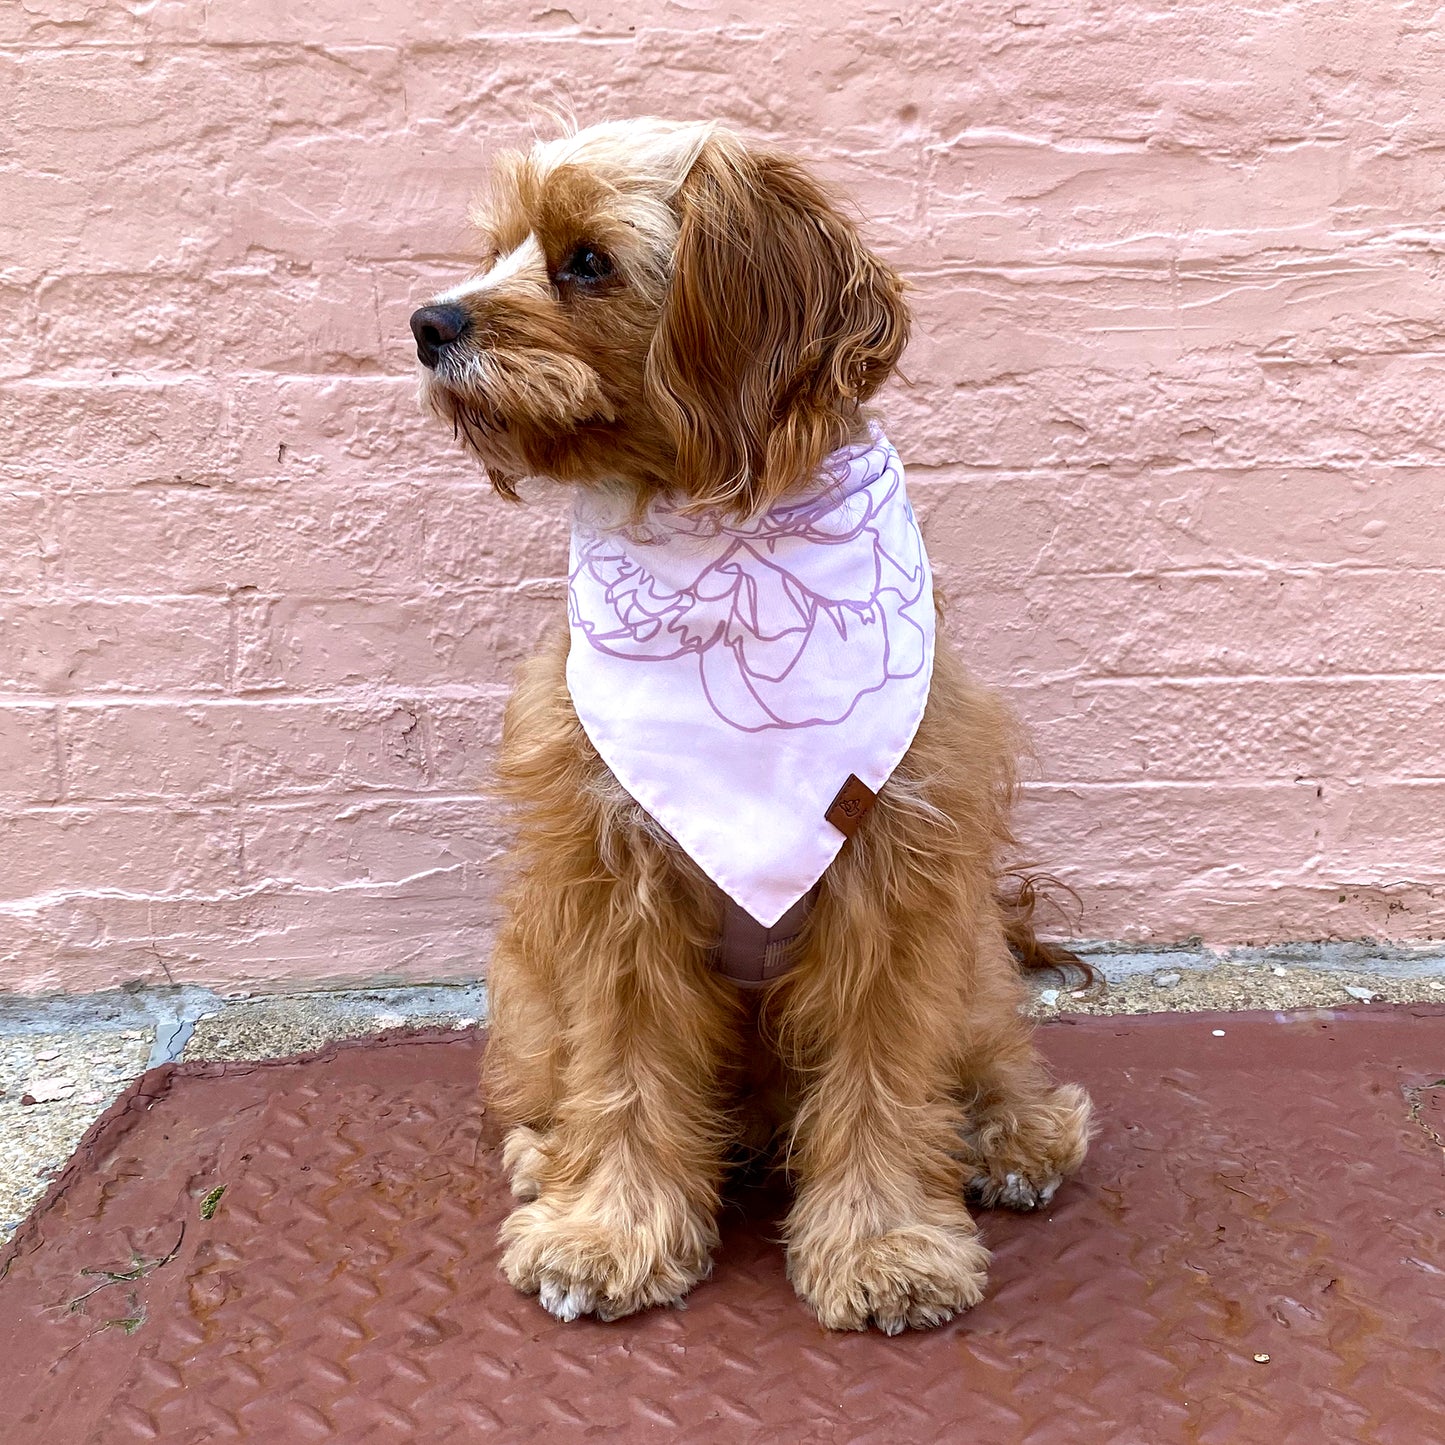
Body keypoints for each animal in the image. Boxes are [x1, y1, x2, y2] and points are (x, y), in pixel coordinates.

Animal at [407, 121, 1086, 1329]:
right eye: (497, 250)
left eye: (587, 261)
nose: (427, 322)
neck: (721, 540)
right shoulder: (615, 890)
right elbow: (625, 1073)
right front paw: (608, 1228)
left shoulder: (893, 893)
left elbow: (881, 1078)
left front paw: (884, 1242)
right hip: (525, 983)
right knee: (549, 1088)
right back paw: (545, 1154)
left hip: (969, 955)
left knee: (991, 1055)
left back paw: (1014, 1134)